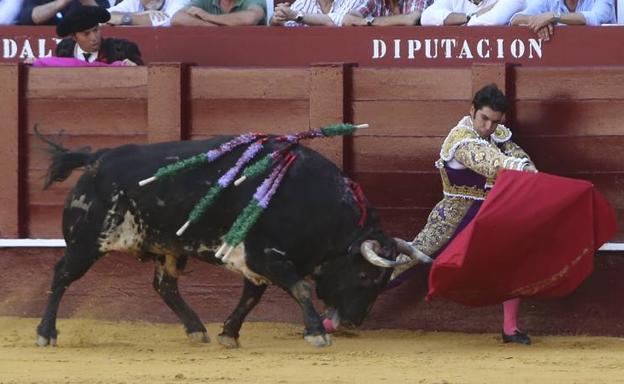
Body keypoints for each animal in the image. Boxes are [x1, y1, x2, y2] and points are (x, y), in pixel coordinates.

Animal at [36, 132, 432, 348]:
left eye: (383, 281)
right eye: (364, 276)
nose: (353, 322)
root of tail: (97, 158)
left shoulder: (254, 261)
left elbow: (251, 298)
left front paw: (228, 333)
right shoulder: (264, 255)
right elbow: (299, 288)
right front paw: (317, 333)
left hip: (168, 249)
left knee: (165, 286)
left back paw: (197, 330)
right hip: (87, 241)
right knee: (61, 276)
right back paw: (46, 333)